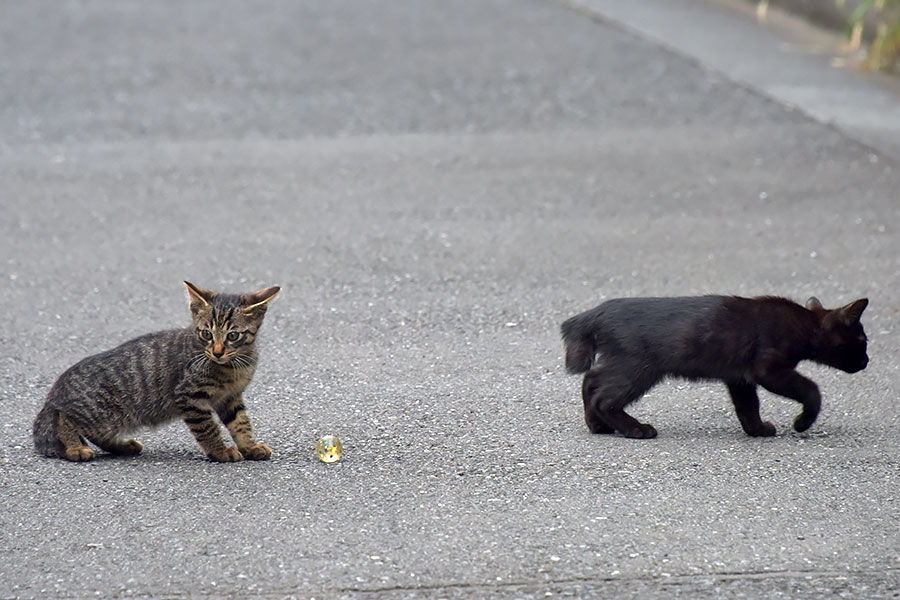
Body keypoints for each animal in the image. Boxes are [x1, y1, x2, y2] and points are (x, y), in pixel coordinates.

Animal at [32, 282, 278, 464]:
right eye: (206, 334)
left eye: (233, 336)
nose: (217, 352)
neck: (234, 365)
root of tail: (55, 391)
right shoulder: (189, 395)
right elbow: (207, 428)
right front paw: (219, 451)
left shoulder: (230, 397)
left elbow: (240, 423)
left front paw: (249, 446)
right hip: (101, 413)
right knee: (64, 418)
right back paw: (75, 448)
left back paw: (123, 446)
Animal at [564, 298, 864, 438]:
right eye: (863, 341)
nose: (867, 361)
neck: (804, 325)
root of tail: (597, 312)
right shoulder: (767, 369)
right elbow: (811, 390)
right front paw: (802, 423)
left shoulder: (740, 377)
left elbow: (747, 407)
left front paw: (757, 430)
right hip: (637, 368)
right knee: (604, 397)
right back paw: (636, 430)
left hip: (624, 364)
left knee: (591, 380)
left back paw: (597, 425)